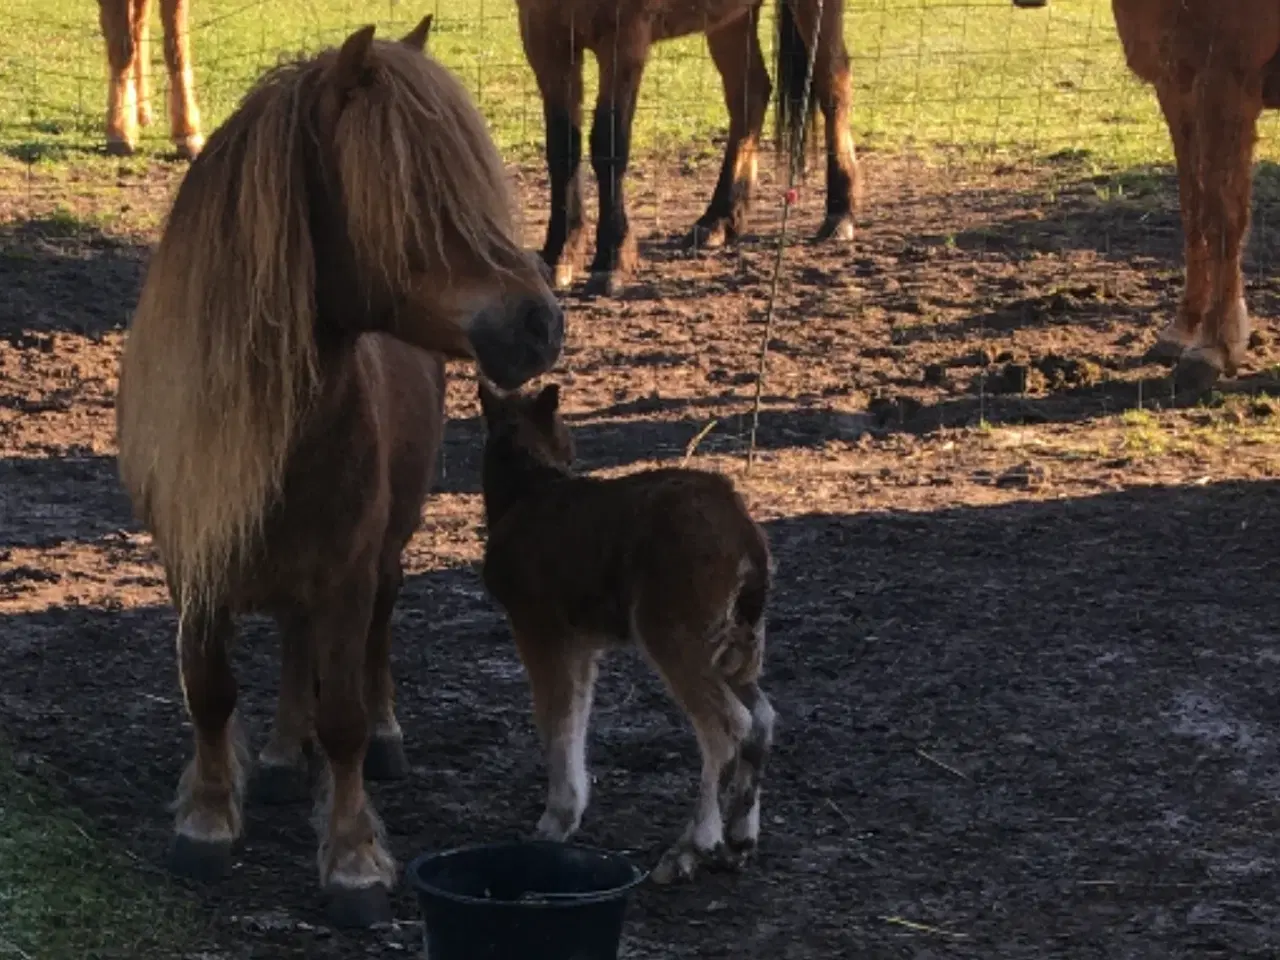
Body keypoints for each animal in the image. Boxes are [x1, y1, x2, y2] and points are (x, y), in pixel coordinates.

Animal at [96, 0, 203, 158]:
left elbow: (177, 50)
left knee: (139, 28)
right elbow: (122, 51)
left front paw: (188, 135)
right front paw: (119, 133)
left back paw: (142, 111)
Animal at [114, 18, 564, 928]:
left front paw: (353, 857)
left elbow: (346, 714)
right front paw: (209, 818)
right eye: (412, 196)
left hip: (383, 552)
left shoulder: (349, 572)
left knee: (374, 641)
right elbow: (210, 690)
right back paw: (284, 757)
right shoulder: (195, 565)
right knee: (294, 643)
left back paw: (374, 741)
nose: (542, 322)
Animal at [477, 380, 775, 884]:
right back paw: (739, 839)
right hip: (738, 640)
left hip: (669, 626)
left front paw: (555, 821)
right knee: (763, 718)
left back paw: (693, 846)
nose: (572, 452)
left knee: (728, 723)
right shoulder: (581, 640)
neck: (520, 494)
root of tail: (747, 541)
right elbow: (575, 714)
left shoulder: (539, 624)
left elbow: (554, 719)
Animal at [515, 0, 861, 295]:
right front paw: (559, 255)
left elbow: (608, 143)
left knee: (834, 86)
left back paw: (840, 212)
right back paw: (718, 219)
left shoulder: (624, 38)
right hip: (731, 17)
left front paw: (612, 260)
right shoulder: (545, 37)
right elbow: (562, 147)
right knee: (750, 94)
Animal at [1108, 0, 1280, 391]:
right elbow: (1194, 206)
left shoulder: (1224, 81)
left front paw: (1214, 345)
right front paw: (1183, 327)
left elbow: (1222, 215)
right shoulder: (1177, 85)